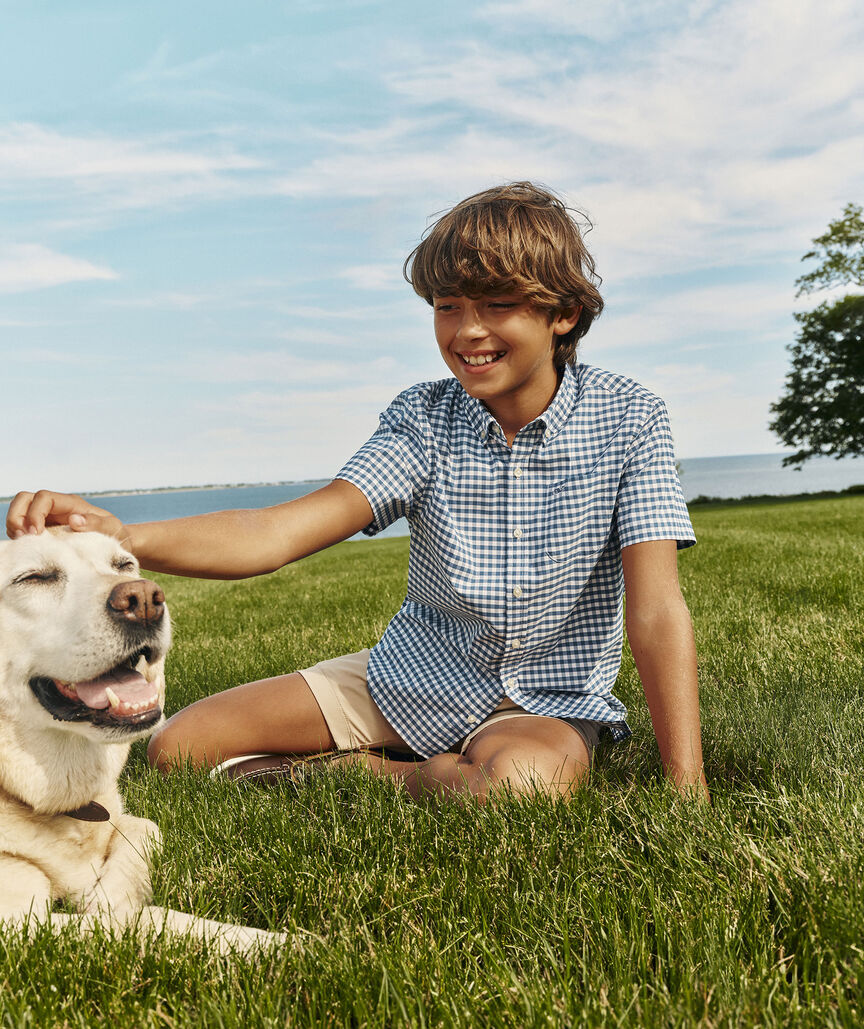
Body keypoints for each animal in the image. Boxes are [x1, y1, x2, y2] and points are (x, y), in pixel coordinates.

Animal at [0, 530, 283, 954]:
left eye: (124, 565)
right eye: (34, 577)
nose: (145, 599)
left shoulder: (128, 820)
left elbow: (143, 836)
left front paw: (110, 895)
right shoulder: (17, 928)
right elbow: (143, 923)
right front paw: (284, 945)